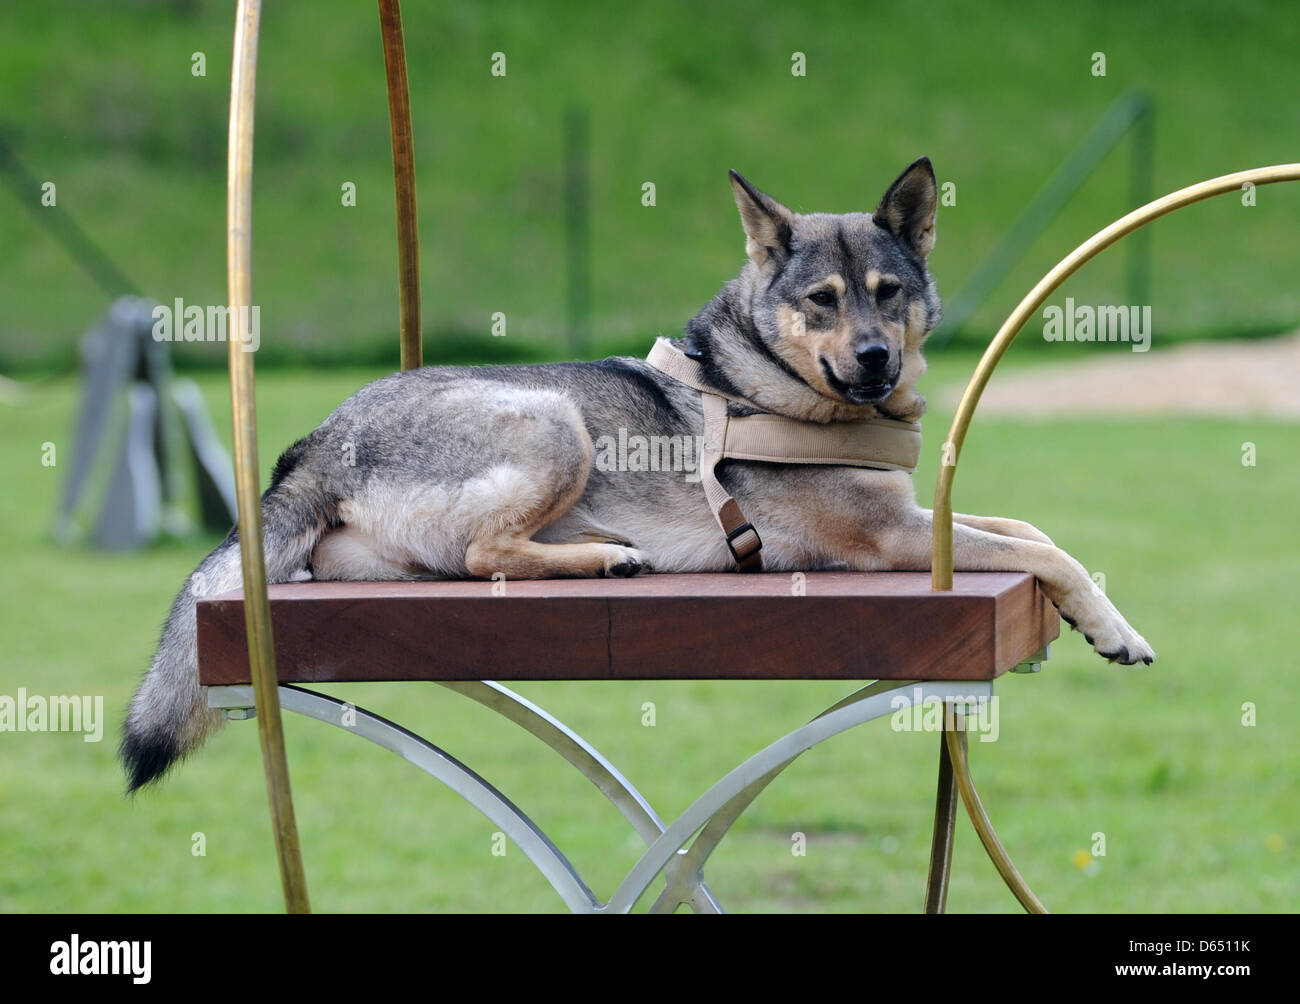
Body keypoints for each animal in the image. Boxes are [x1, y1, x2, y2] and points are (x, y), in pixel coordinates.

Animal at [122, 158, 1154, 790]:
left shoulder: (923, 519)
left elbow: (1034, 534)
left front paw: (1099, 616)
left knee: (454, 561)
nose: (875, 359)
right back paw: (607, 558)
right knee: (486, 553)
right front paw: (1115, 630)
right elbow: (1048, 554)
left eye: (888, 293)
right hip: (557, 423)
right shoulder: (894, 538)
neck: (769, 384)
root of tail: (317, 440)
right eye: (822, 301)